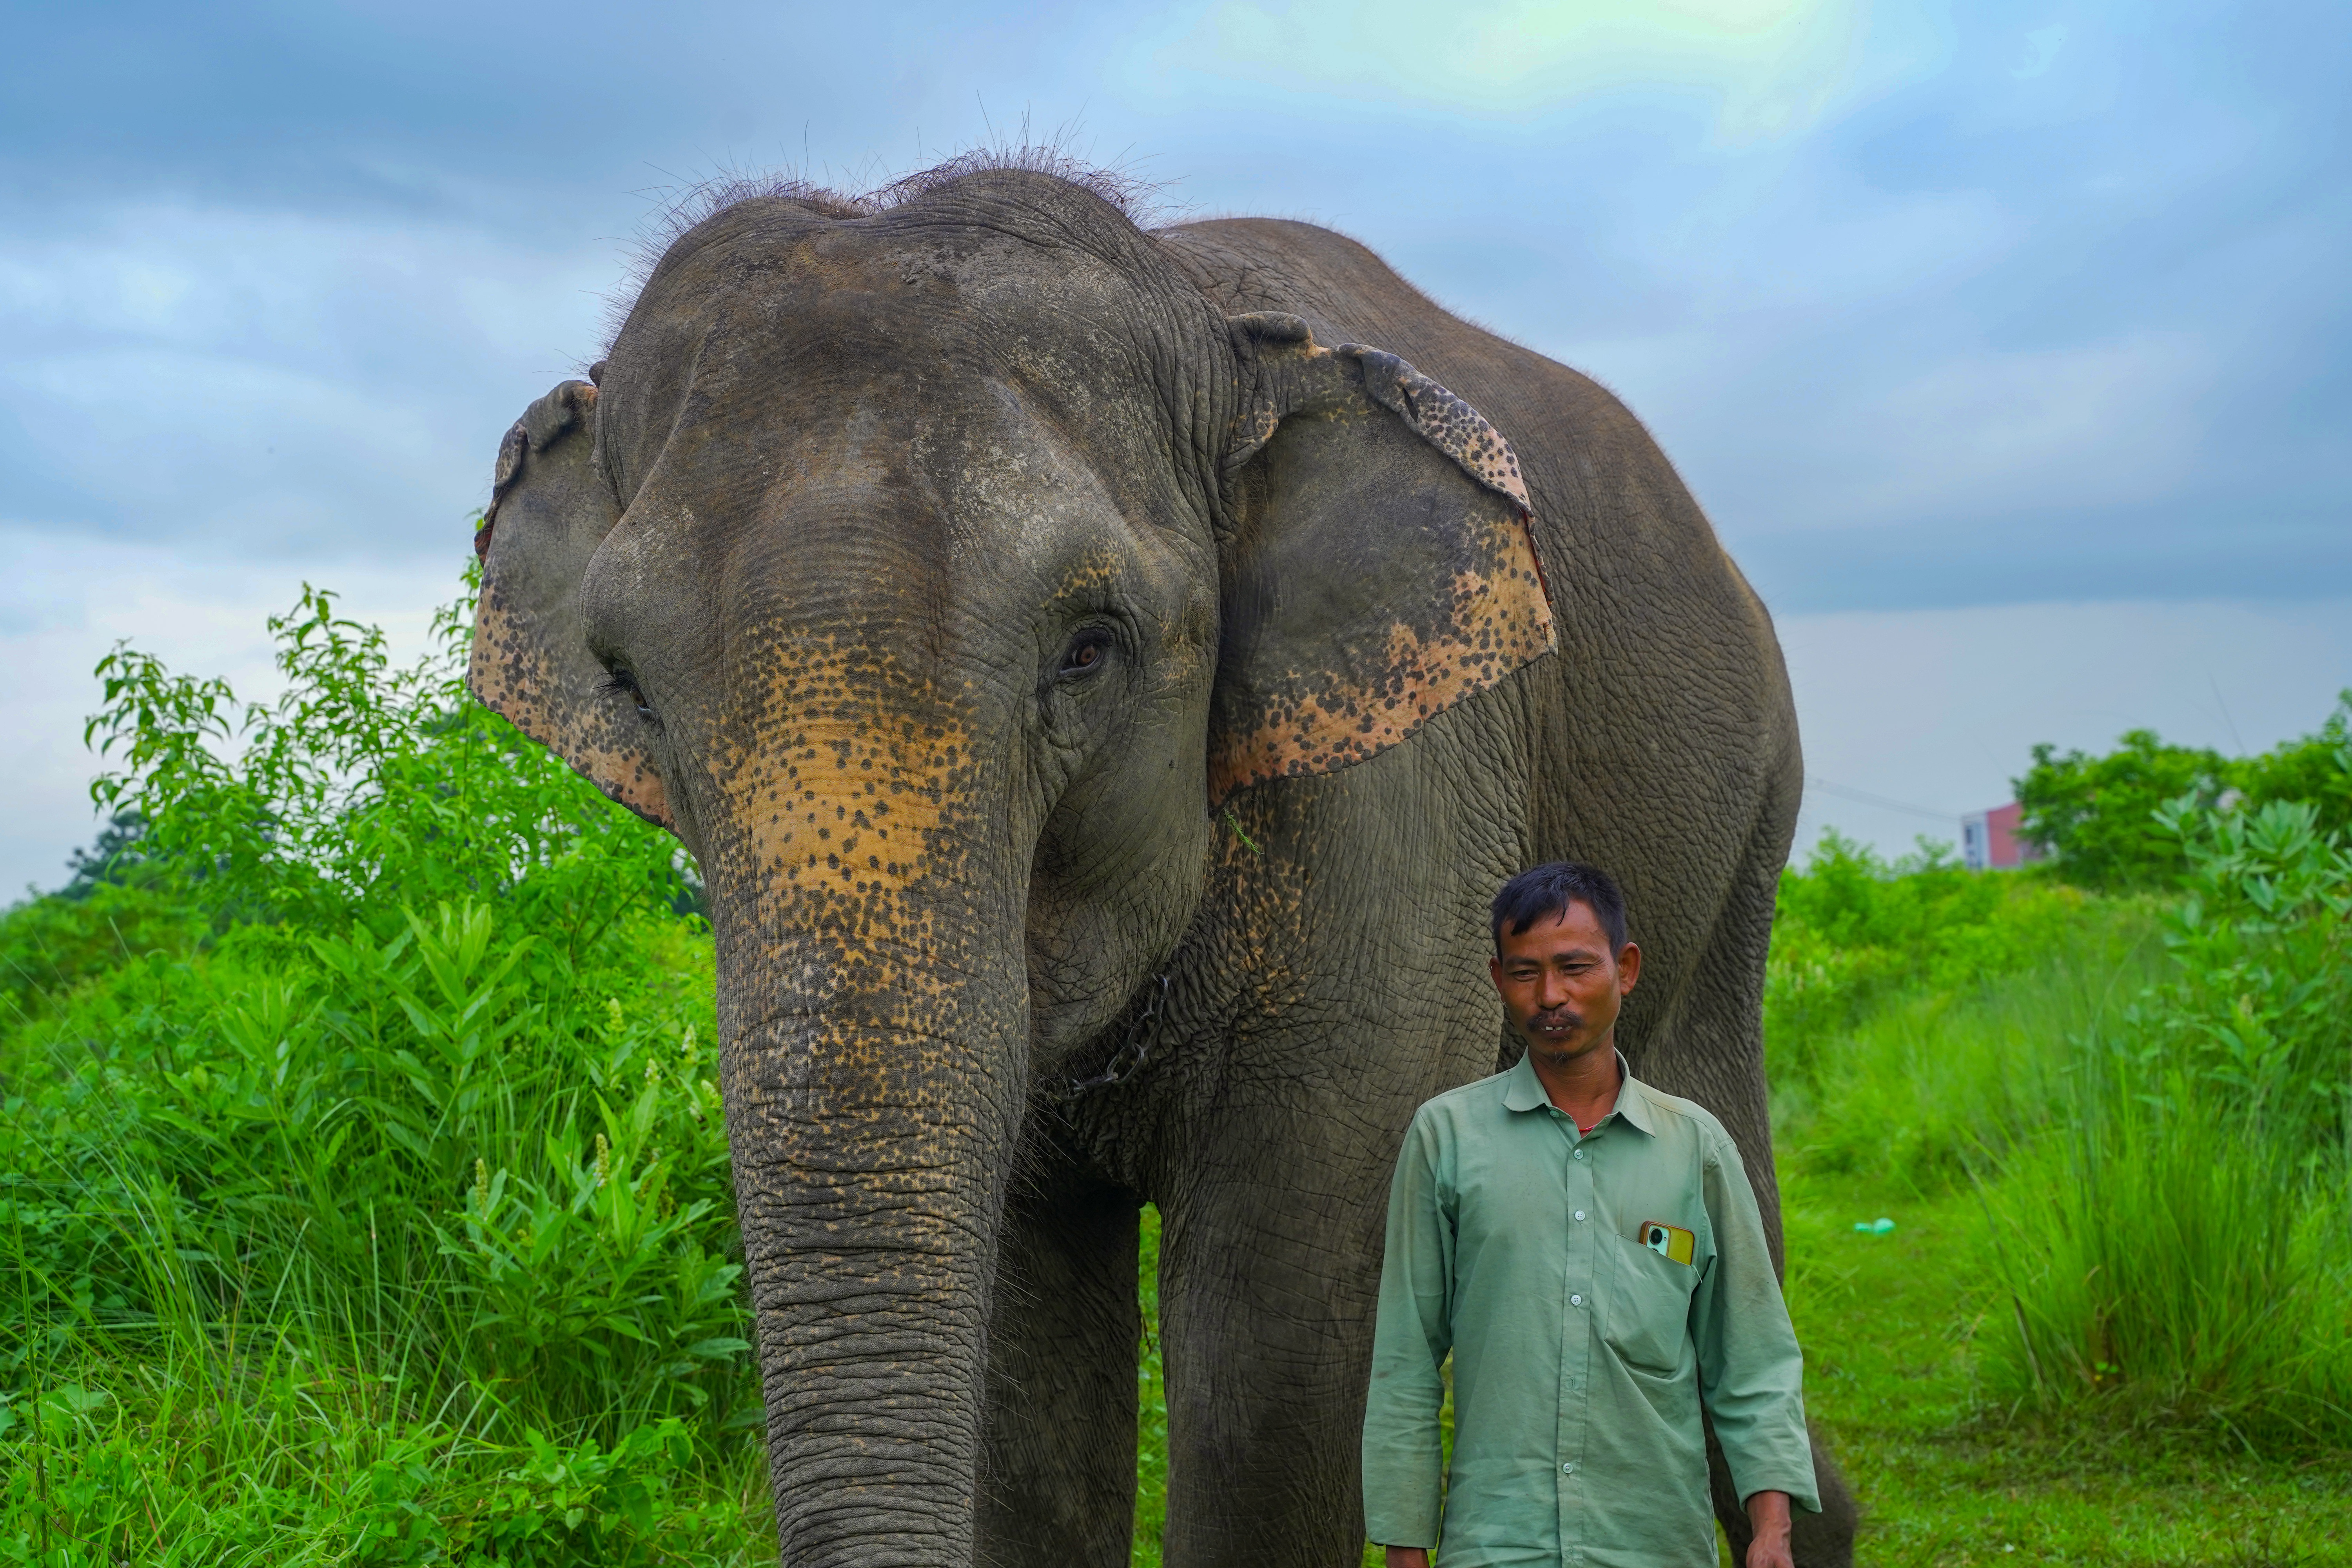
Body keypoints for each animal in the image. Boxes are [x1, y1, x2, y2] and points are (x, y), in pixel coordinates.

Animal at [468, 155, 1858, 1568]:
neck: (1212, 329)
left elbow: (1275, 1368)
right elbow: (1030, 1400)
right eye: (629, 685)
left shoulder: (1398, 800)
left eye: (1090, 646)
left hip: (1749, 806)